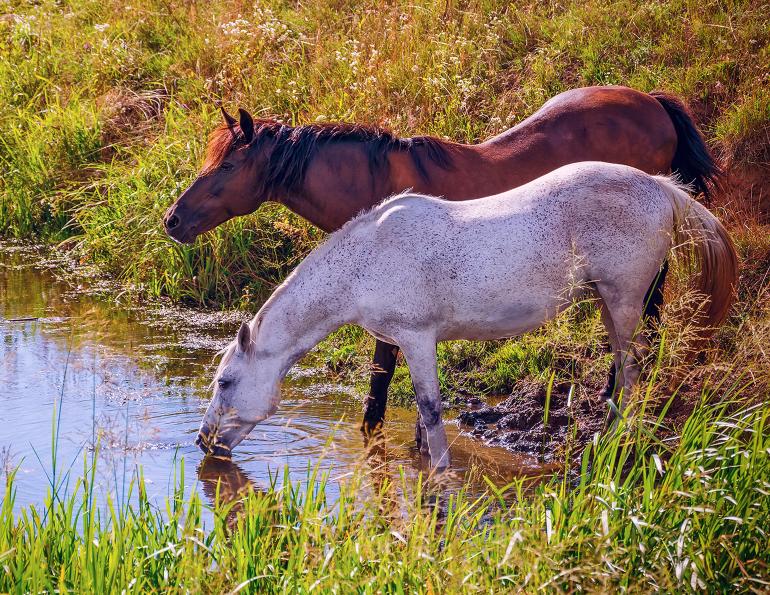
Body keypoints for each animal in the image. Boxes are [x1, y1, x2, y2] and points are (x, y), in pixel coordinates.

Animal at [194, 161, 737, 469]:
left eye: (225, 382)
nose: (203, 441)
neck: (366, 260)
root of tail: (660, 187)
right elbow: (421, 413)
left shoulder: (415, 338)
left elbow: (431, 409)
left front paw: (440, 470)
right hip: (607, 300)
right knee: (625, 368)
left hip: (624, 300)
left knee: (632, 368)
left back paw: (618, 439)